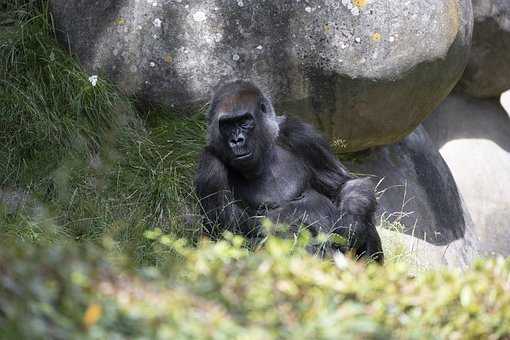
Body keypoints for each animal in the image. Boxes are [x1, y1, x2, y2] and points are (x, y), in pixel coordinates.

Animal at [195, 80, 382, 262]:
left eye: (244, 121)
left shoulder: (301, 135)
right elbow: (227, 232)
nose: (236, 140)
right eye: (226, 124)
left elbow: (343, 185)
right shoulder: (210, 165)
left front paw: (351, 223)